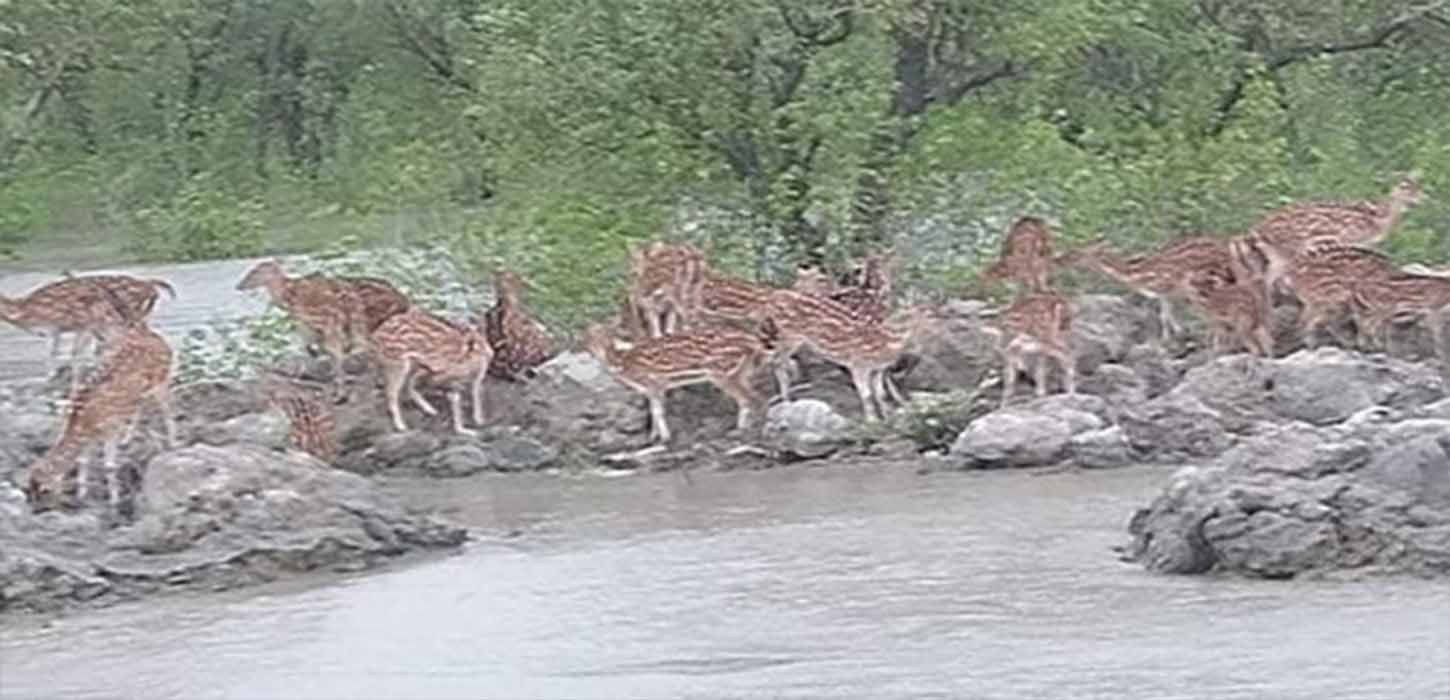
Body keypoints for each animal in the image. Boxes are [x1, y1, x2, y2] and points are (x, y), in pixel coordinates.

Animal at [24, 279, 176, 515]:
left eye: (42, 492)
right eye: (27, 493)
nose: (36, 512)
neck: (83, 421)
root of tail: (157, 338)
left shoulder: (109, 428)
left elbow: (109, 466)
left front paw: (114, 502)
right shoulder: (91, 437)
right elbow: (83, 462)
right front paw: (82, 496)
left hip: (162, 379)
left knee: (168, 410)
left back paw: (173, 444)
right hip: (141, 393)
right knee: (140, 406)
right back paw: (128, 438)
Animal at [582, 317, 777, 443]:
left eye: (604, 334)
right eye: (589, 336)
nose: (591, 348)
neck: (623, 365)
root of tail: (753, 342)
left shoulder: (656, 383)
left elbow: (658, 411)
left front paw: (665, 439)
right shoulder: (651, 388)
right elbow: (653, 410)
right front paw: (652, 438)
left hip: (722, 372)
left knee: (752, 398)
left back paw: (754, 431)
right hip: (742, 371)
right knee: (751, 397)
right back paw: (742, 429)